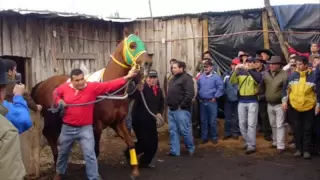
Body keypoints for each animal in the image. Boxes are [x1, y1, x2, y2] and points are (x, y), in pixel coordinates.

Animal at [30, 28, 153, 178]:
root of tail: (41, 84)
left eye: (143, 44)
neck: (110, 91)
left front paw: (135, 170)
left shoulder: (118, 122)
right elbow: (95, 151)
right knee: (48, 134)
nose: (148, 63)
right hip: (51, 118)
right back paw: (57, 161)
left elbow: (130, 143)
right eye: (132, 45)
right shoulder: (97, 127)